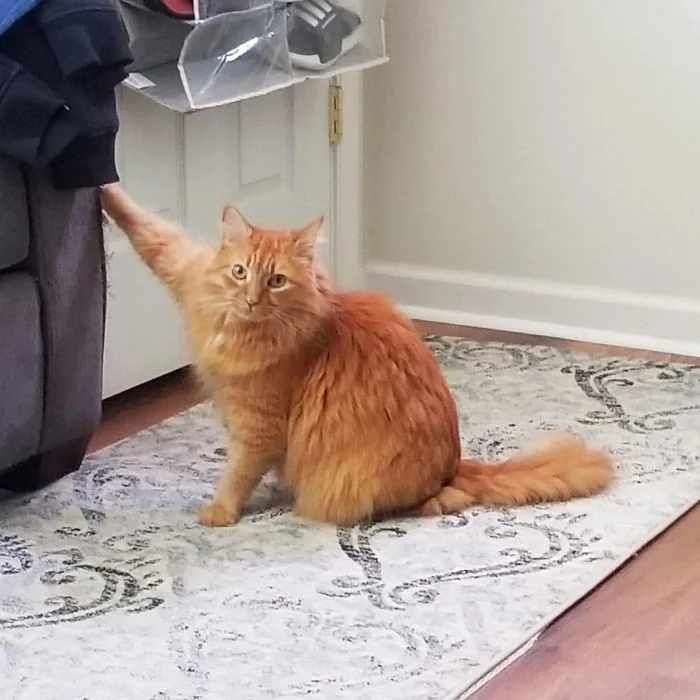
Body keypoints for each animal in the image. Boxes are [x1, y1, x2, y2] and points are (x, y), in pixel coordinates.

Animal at [100, 183, 613, 528]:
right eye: (239, 272)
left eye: (276, 281)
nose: (250, 299)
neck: (241, 331)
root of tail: (452, 468)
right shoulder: (185, 269)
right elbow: (147, 227)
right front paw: (104, 188)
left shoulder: (259, 424)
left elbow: (238, 472)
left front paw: (220, 512)